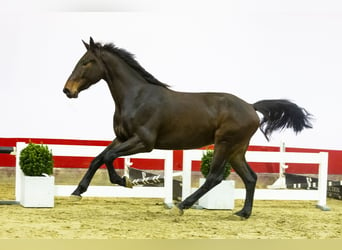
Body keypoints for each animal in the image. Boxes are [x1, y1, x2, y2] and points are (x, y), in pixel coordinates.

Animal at [64, 37, 312, 219]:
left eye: (86, 61)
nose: (67, 90)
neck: (137, 97)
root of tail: (251, 107)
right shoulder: (122, 137)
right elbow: (98, 158)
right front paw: (77, 192)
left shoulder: (144, 142)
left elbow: (109, 157)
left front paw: (124, 182)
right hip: (236, 150)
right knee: (250, 178)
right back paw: (243, 213)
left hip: (224, 144)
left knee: (214, 177)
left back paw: (182, 205)